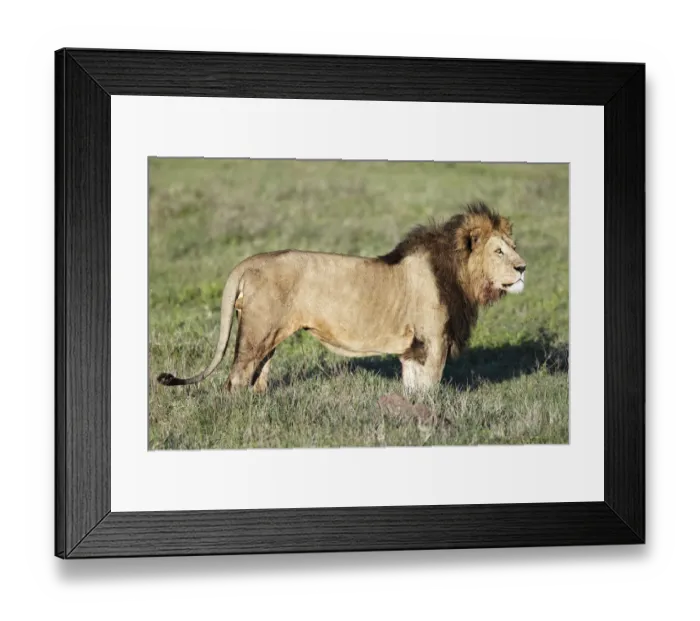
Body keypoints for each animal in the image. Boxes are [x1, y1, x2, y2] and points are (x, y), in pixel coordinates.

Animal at [156, 202, 527, 394]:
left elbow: (413, 387)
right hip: (256, 333)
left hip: (267, 336)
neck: (461, 275)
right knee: (236, 378)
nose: (523, 267)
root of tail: (248, 262)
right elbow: (430, 387)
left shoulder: (414, 349)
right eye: (499, 251)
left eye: (513, 247)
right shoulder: (434, 341)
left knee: (256, 376)